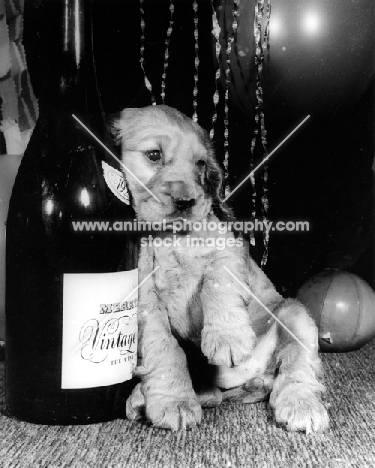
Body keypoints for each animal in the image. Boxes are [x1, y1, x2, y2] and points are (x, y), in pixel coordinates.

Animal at [114, 105, 328, 432]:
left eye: (200, 164)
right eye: (154, 155)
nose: (187, 202)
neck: (172, 238)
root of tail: (254, 379)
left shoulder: (230, 248)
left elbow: (216, 280)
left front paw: (227, 338)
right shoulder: (145, 295)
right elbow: (163, 345)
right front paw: (174, 402)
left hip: (293, 314)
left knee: (297, 366)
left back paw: (301, 405)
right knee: (214, 394)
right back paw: (143, 398)